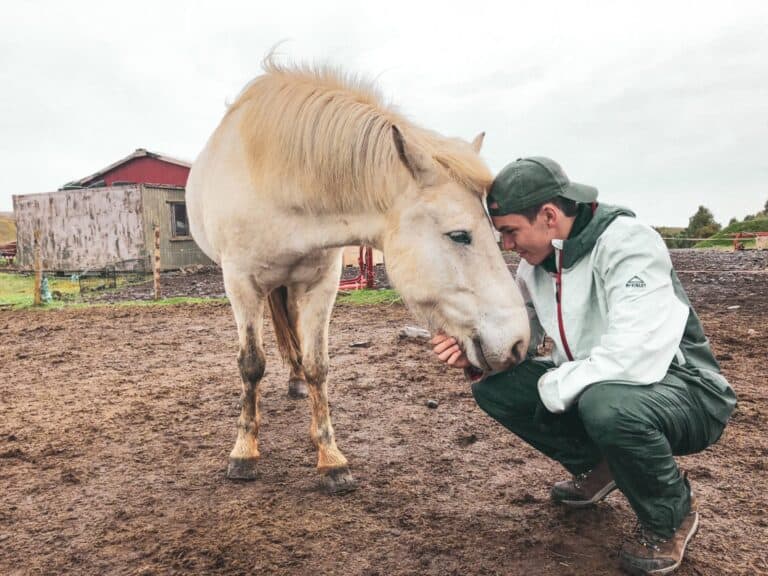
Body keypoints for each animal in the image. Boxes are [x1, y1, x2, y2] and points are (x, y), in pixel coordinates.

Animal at [186, 58, 530, 493]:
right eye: (459, 235)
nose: (519, 343)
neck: (276, 180)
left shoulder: (322, 283)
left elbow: (318, 365)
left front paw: (331, 458)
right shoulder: (240, 283)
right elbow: (250, 364)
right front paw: (244, 451)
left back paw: (295, 381)